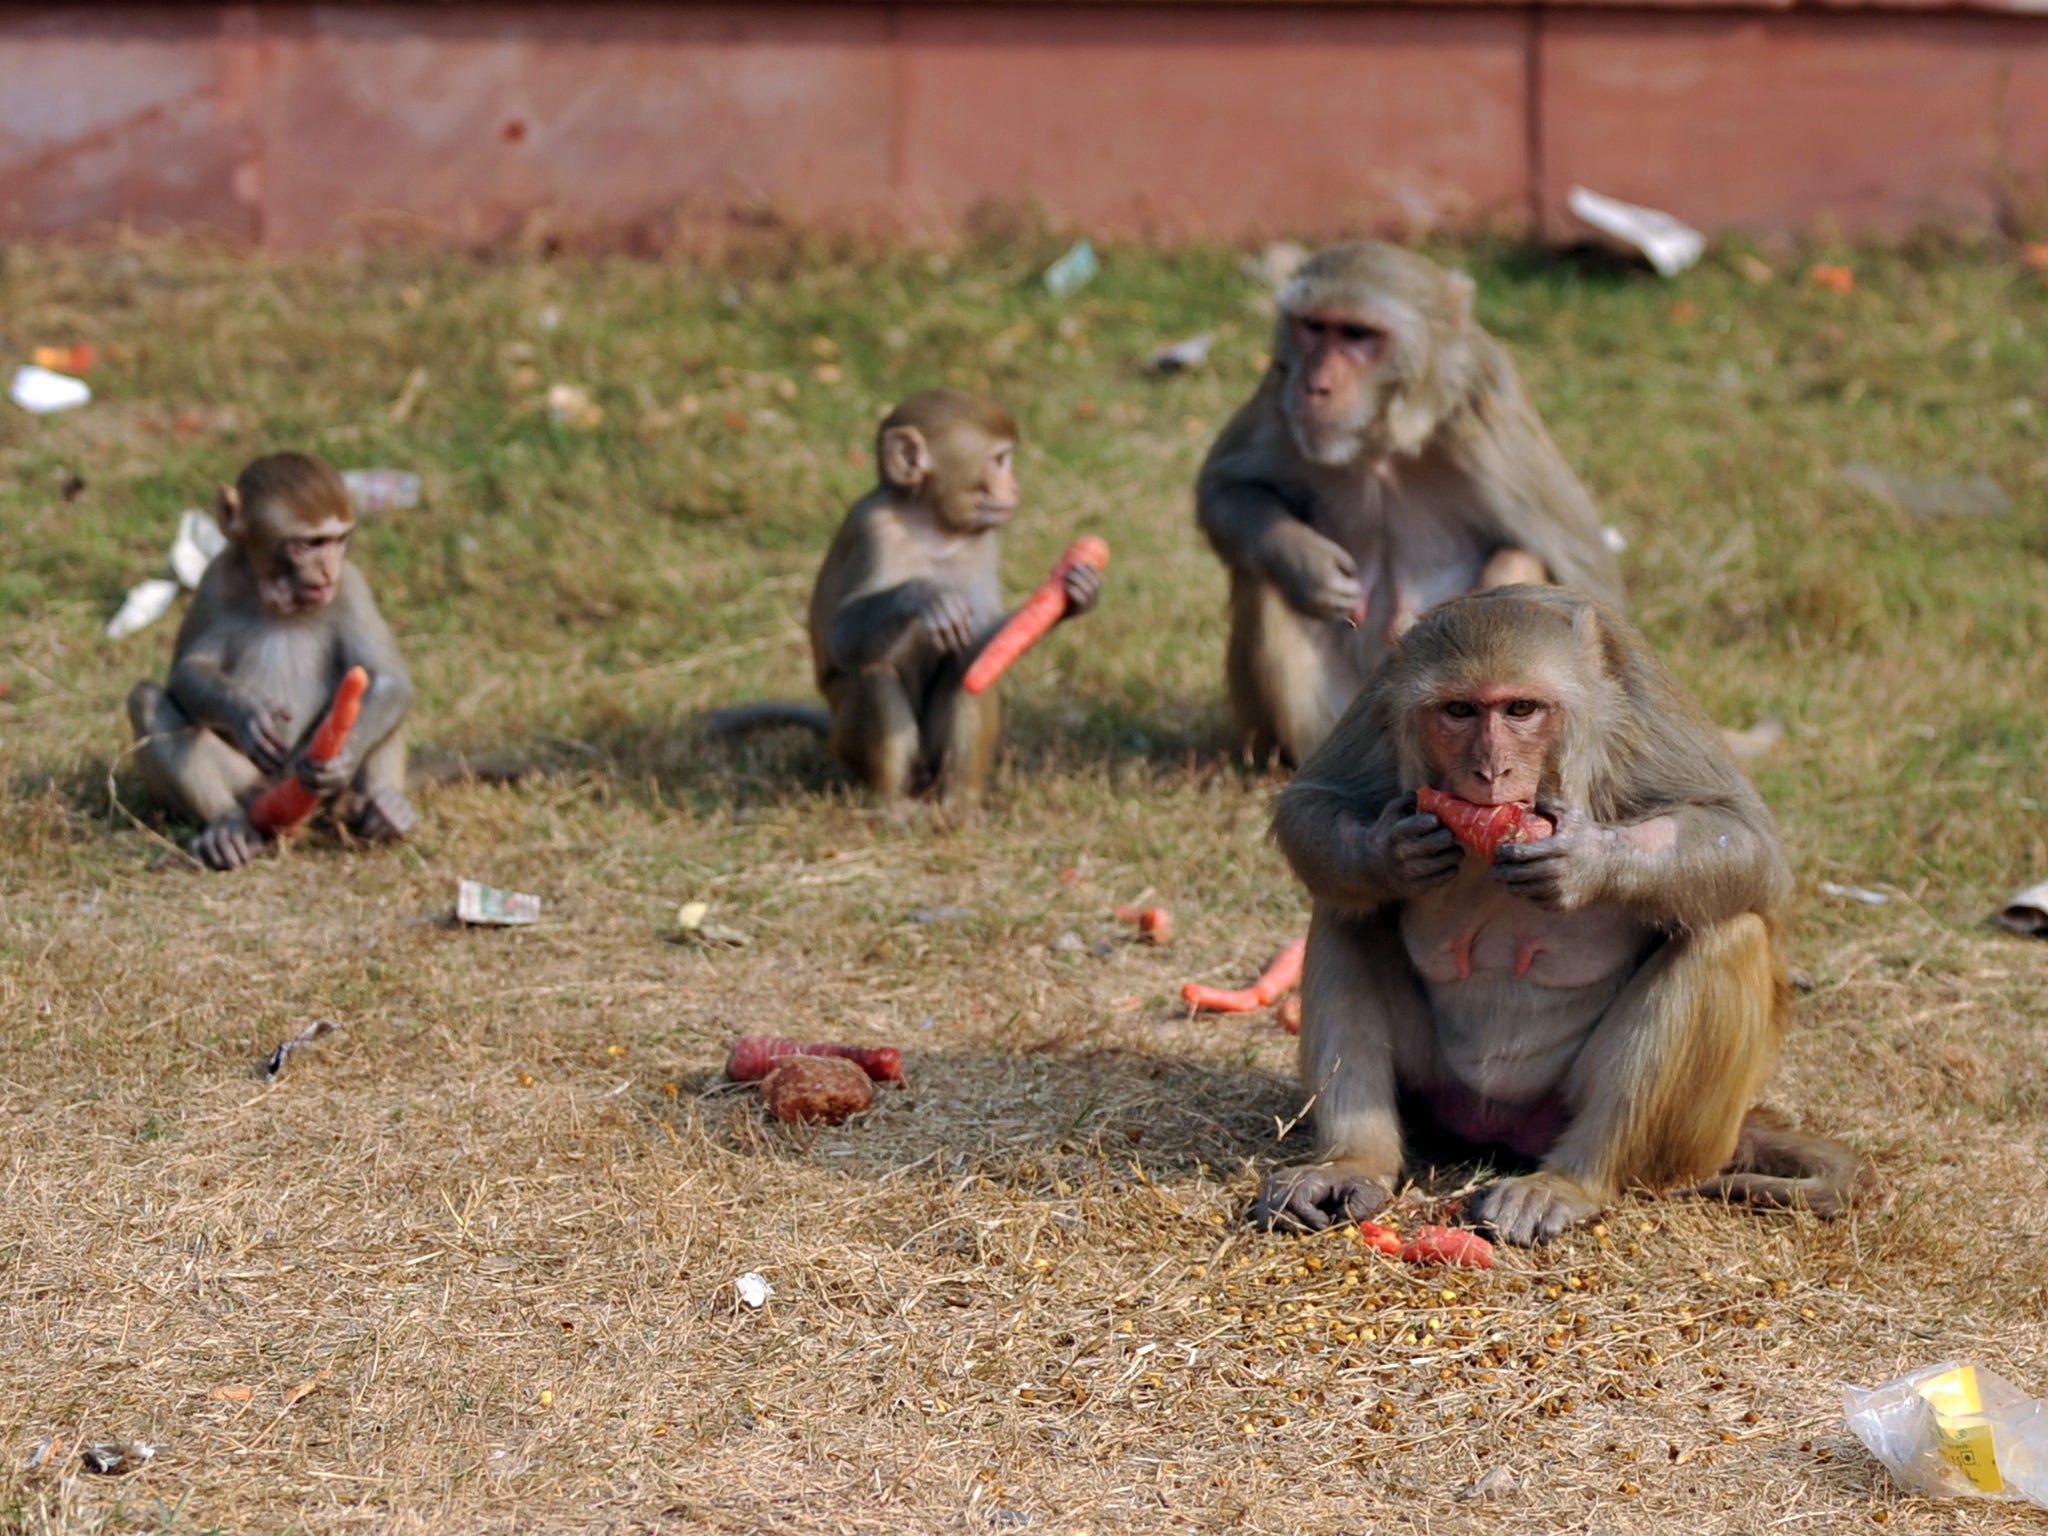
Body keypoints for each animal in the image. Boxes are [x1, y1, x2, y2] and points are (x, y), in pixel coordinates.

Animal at [124, 450, 415, 872]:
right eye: (311, 543)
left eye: (339, 540)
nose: (327, 568)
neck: (280, 599)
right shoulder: (215, 581)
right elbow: (187, 670)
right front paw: (246, 712)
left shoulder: (350, 586)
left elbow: (389, 678)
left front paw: (339, 763)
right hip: (250, 785)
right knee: (146, 700)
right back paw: (227, 828)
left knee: (383, 696)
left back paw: (383, 808)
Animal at [1196, 244, 1613, 770]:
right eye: (1313, 326)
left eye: (1357, 334)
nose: (1314, 385)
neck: (1380, 438)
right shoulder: (1277, 391)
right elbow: (1223, 487)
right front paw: (1304, 561)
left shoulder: (1487, 422)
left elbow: (1590, 587)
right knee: (1263, 580)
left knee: (1516, 559)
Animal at [1253, 589, 1867, 1253]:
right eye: (1460, 710)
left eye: (1521, 709)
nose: (1490, 771)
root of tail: (1498, 1126)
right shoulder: (1384, 695)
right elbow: (1311, 802)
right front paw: (1389, 855)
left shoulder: (1639, 707)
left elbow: (1749, 841)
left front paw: (1585, 861)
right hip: (1437, 1092)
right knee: (1346, 912)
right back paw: (1354, 1164)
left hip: (1647, 1128)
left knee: (1727, 933)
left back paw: (1574, 1180)